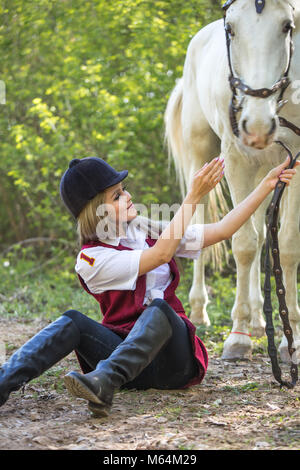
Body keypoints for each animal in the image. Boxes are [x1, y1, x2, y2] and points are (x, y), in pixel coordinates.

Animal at [164, 0, 300, 362]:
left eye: (287, 26)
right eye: (231, 29)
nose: (257, 125)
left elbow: (286, 244)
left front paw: (290, 339)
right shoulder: (237, 159)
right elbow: (244, 244)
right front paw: (237, 336)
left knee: (261, 228)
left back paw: (257, 319)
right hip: (201, 153)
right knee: (200, 219)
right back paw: (201, 312)